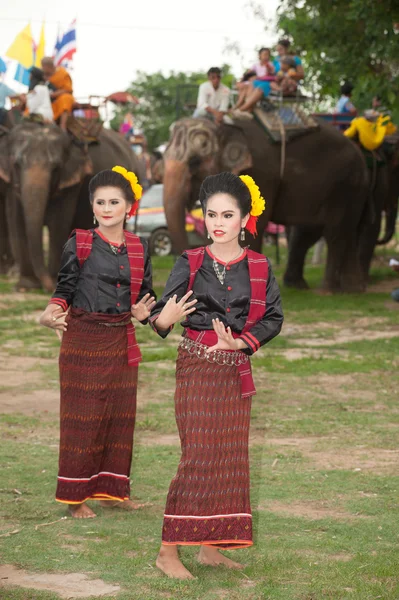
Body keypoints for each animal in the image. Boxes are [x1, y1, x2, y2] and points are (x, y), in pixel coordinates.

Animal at [2, 122, 145, 290]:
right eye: (16, 165)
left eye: (56, 168)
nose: (48, 286)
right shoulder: (11, 184)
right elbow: (17, 223)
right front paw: (26, 286)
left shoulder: (71, 184)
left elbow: (58, 224)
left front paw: (55, 280)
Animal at [162, 116, 376, 292]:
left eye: (194, 161)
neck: (223, 126)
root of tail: (361, 156)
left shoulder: (259, 174)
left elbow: (253, 223)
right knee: (317, 231)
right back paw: (341, 288)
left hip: (346, 185)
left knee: (335, 232)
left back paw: (327, 290)